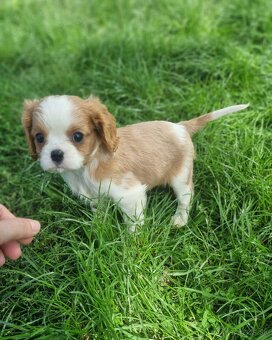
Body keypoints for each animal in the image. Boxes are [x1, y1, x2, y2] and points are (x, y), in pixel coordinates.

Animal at [21, 95, 249, 234]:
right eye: (39, 138)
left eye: (78, 136)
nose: (56, 154)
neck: (85, 168)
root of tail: (181, 127)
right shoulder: (95, 195)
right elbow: (100, 211)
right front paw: (99, 226)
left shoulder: (130, 194)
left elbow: (133, 223)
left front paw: (130, 242)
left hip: (181, 176)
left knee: (186, 198)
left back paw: (179, 219)